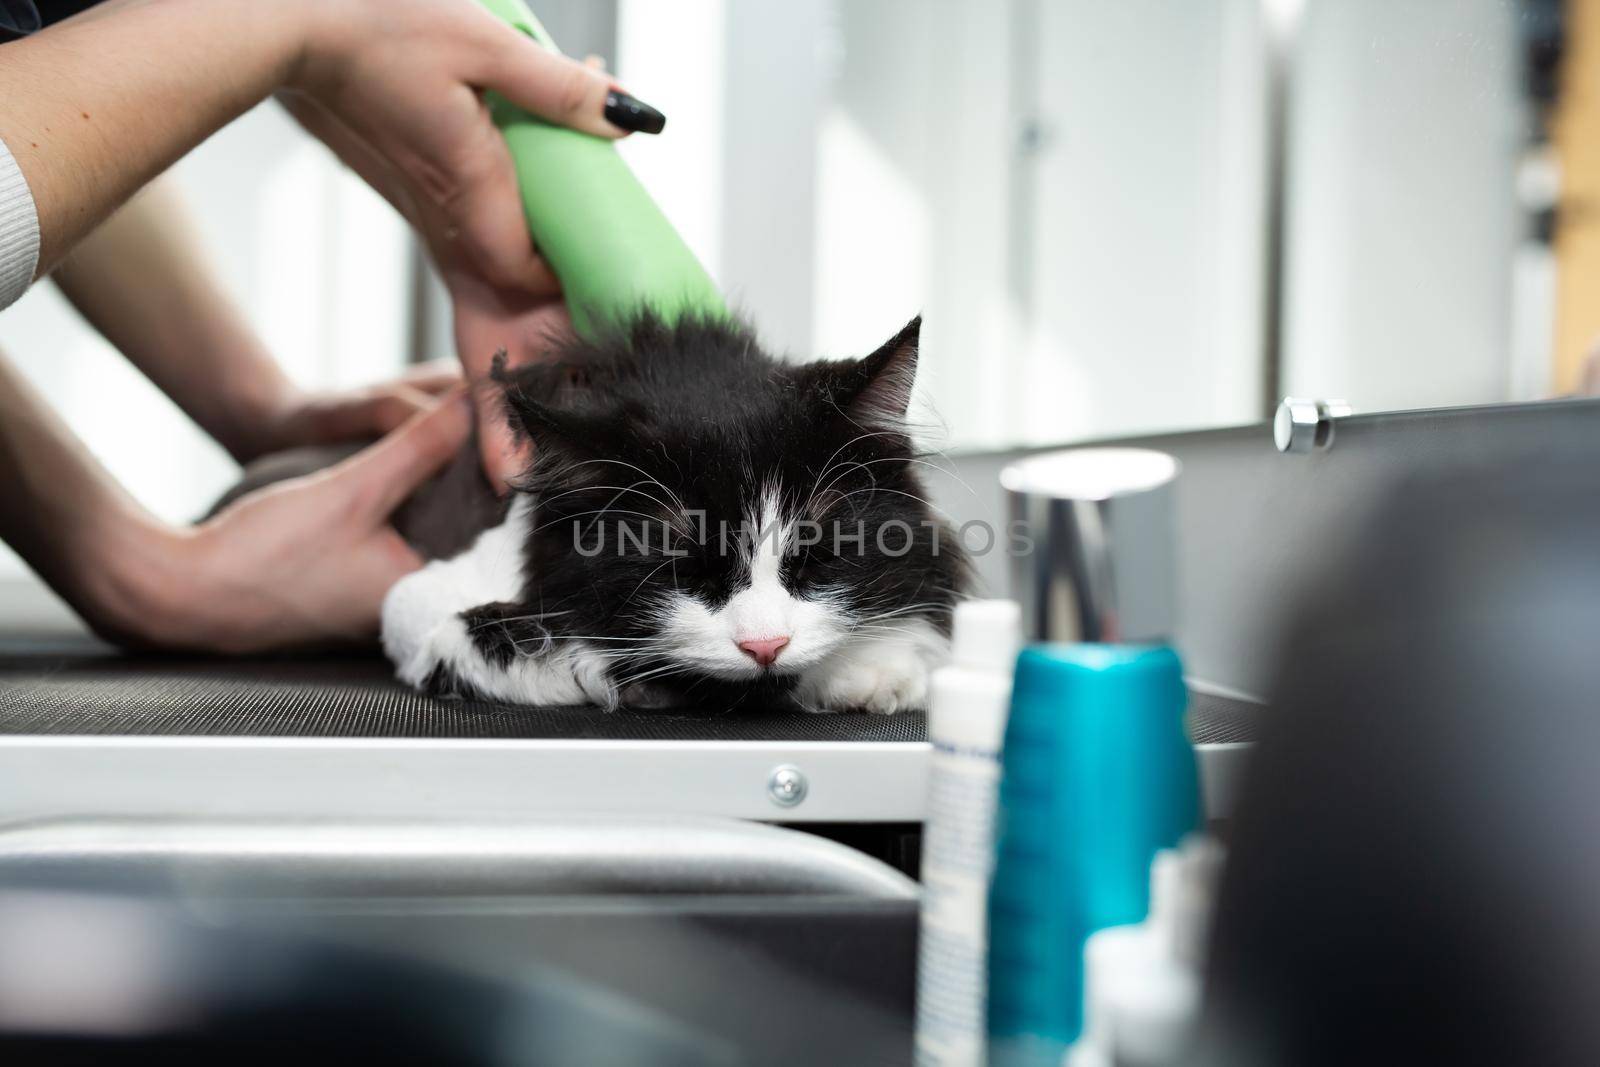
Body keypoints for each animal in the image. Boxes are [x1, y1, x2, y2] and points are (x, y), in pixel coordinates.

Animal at [380, 313, 966, 723]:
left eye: (818, 555)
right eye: (682, 570)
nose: (765, 646)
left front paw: (873, 671)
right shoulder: (418, 596)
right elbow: (465, 636)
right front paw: (593, 670)